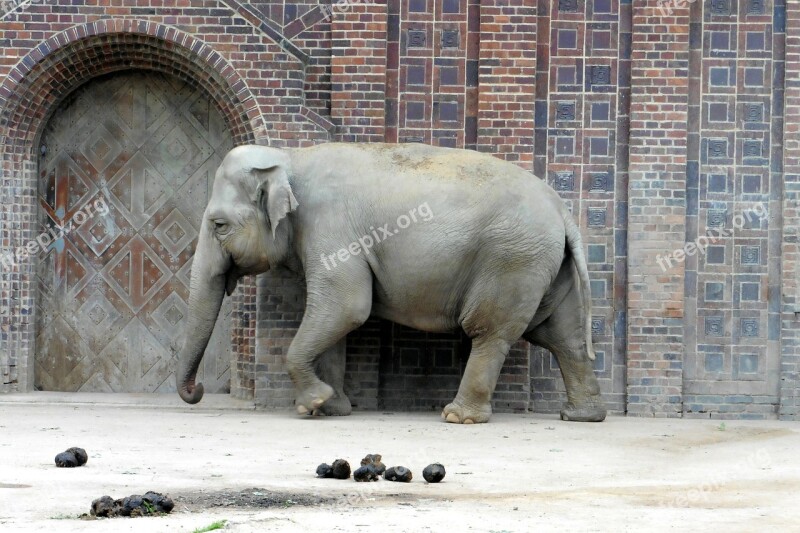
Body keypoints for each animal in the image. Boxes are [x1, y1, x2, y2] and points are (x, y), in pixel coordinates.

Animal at [177, 142, 608, 424]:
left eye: (219, 225)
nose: (196, 393)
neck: (288, 157)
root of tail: (561, 209)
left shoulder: (331, 227)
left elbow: (347, 307)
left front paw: (313, 402)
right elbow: (338, 321)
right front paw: (330, 408)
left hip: (512, 260)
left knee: (491, 331)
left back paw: (458, 417)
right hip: (549, 264)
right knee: (564, 338)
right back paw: (580, 416)